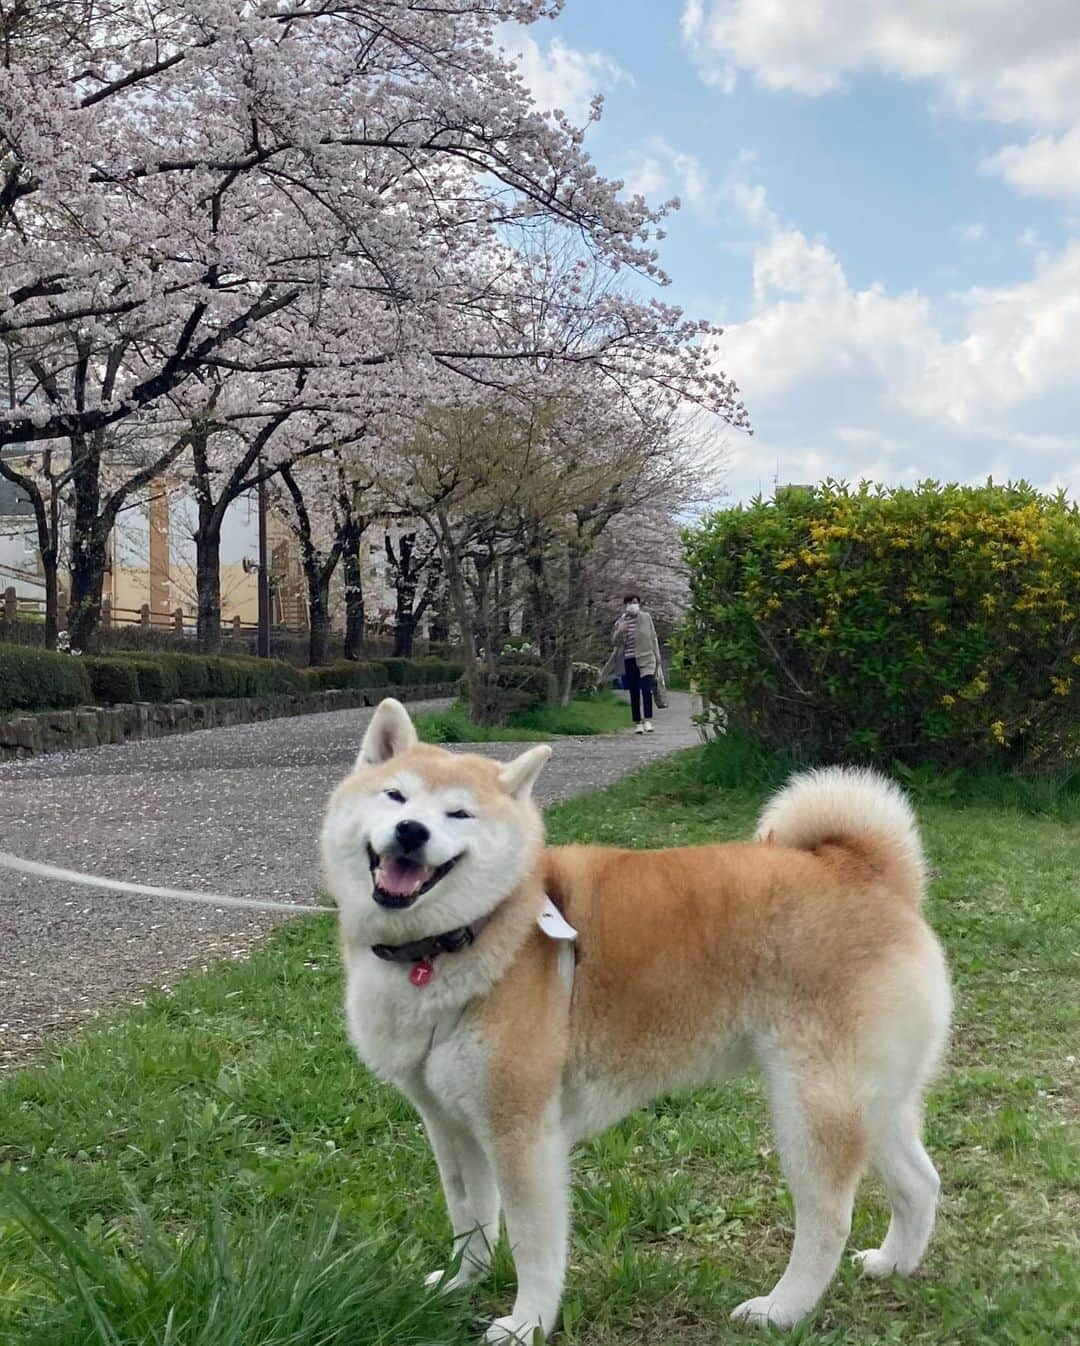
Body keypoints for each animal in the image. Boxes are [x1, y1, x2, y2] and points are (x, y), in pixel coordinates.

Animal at [321, 699, 953, 1340]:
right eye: (396, 796)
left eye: (459, 812)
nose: (412, 831)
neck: (462, 940)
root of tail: (866, 871)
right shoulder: (450, 1123)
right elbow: (470, 1217)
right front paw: (459, 1284)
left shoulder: (523, 1135)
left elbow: (532, 1247)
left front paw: (527, 1324)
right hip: (871, 1099)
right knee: (920, 1184)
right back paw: (892, 1264)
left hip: (812, 1107)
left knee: (829, 1219)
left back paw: (781, 1309)